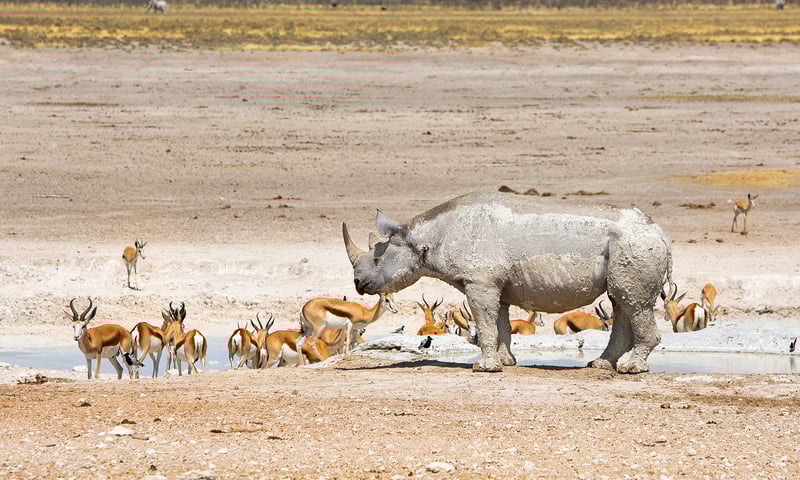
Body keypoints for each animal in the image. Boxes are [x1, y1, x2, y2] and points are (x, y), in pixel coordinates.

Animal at [342, 191, 672, 374]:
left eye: (376, 261)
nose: (358, 283)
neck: (425, 238)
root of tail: (660, 233)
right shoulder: (493, 283)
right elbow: (499, 322)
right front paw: (506, 361)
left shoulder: (479, 281)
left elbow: (485, 323)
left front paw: (484, 367)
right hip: (629, 248)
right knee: (621, 301)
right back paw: (600, 365)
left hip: (634, 246)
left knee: (632, 302)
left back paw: (631, 370)